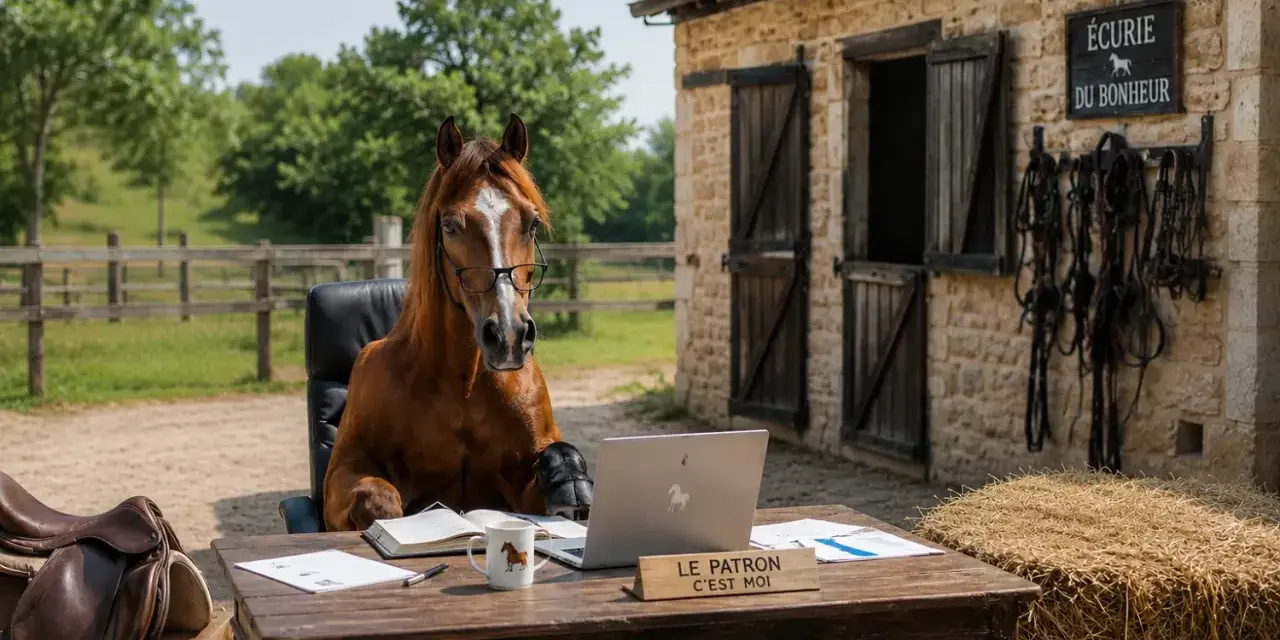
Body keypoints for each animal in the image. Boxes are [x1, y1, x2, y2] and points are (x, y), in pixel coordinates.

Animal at [321, 113, 594, 532]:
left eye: (532, 224)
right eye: (450, 225)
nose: (509, 336)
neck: (462, 385)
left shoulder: (525, 489)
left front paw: (568, 478)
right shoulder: (342, 473)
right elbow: (377, 500)